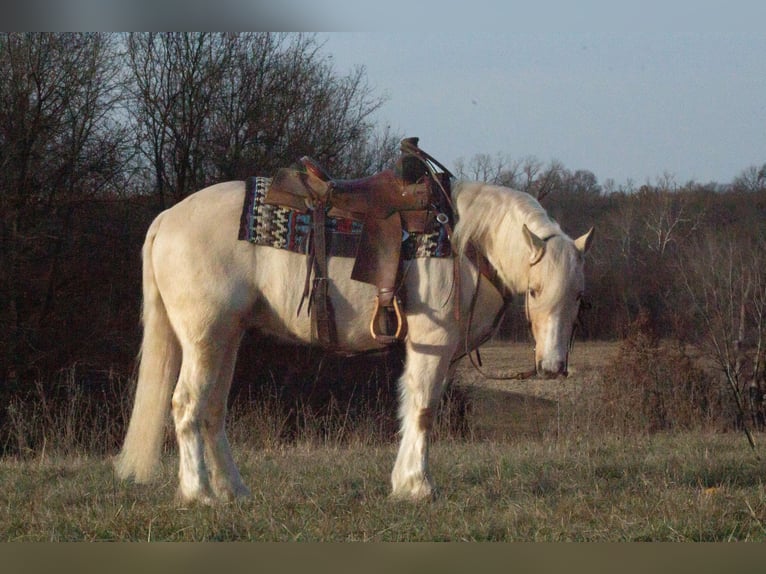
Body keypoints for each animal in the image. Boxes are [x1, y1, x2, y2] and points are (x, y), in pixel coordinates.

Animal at [115, 179, 592, 504]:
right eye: (536, 291)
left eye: (577, 295)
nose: (553, 367)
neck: (464, 244)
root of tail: (167, 218)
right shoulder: (432, 343)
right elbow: (423, 409)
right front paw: (418, 486)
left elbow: (412, 407)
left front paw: (403, 482)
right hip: (204, 337)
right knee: (186, 405)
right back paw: (198, 493)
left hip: (225, 339)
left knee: (212, 409)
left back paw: (233, 490)